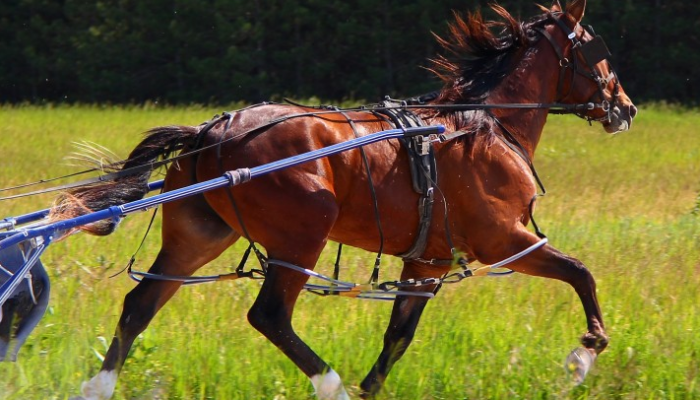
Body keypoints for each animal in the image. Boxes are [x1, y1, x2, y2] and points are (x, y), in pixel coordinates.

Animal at [52, 1, 636, 398]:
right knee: (269, 316)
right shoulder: (503, 240)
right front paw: (583, 356)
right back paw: (328, 384)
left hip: (201, 234)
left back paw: (98, 387)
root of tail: (210, 131)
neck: (482, 127)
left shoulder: (427, 261)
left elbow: (397, 338)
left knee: (140, 305)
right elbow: (581, 273)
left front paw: (369, 387)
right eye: (596, 48)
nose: (625, 107)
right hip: (303, 233)